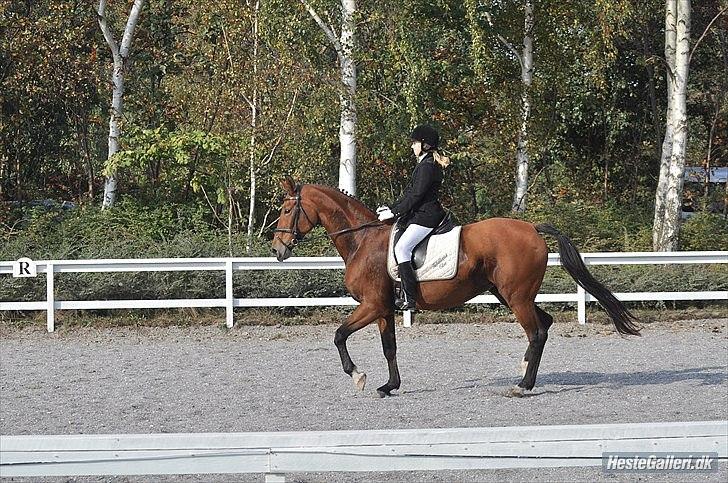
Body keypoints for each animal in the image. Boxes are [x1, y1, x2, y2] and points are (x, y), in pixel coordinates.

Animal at [270, 178, 640, 398]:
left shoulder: (372, 305)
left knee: (536, 332)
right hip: (509, 294)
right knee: (544, 325)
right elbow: (389, 348)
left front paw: (357, 375)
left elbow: (339, 335)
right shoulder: (383, 310)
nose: (278, 250)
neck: (362, 240)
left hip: (516, 296)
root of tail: (532, 228)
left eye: (287, 209)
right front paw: (389, 386)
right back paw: (524, 373)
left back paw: (522, 386)